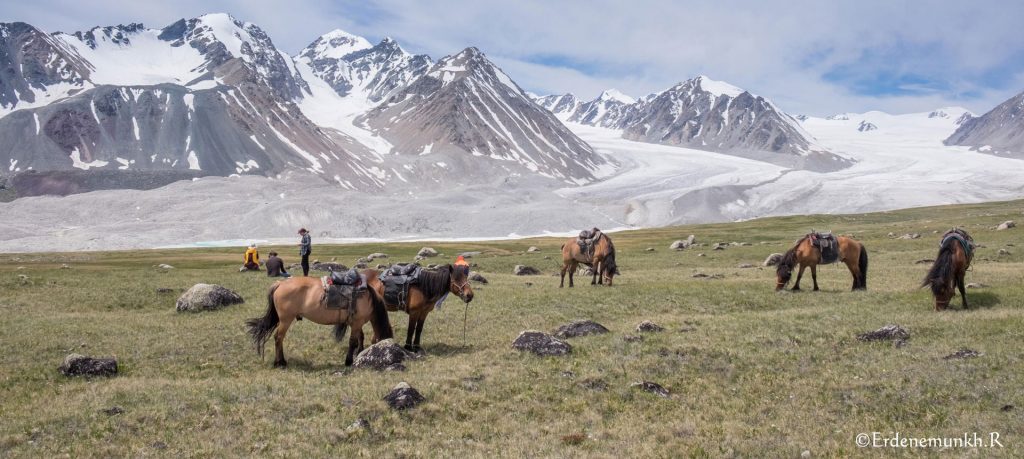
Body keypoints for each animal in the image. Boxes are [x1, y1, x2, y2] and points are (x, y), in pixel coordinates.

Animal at [245, 270, 393, 366]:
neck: (369, 297)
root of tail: (280, 283)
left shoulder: (356, 323)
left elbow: (359, 338)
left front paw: (359, 354)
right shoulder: (357, 323)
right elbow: (353, 342)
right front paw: (348, 361)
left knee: (279, 338)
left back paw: (282, 361)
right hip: (286, 320)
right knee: (278, 337)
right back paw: (279, 362)